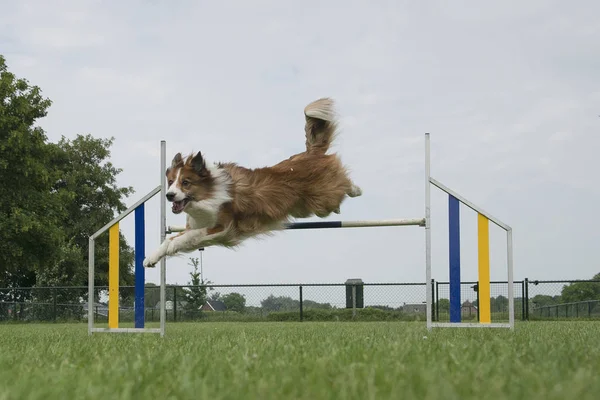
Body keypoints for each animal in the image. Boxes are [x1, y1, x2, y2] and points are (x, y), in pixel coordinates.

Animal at [143, 96, 364, 268]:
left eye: (186, 182)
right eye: (171, 181)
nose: (169, 195)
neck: (207, 196)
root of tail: (311, 153)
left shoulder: (221, 226)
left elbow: (185, 238)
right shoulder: (197, 227)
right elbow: (171, 239)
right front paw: (150, 259)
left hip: (323, 201)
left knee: (343, 184)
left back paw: (356, 189)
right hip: (307, 207)